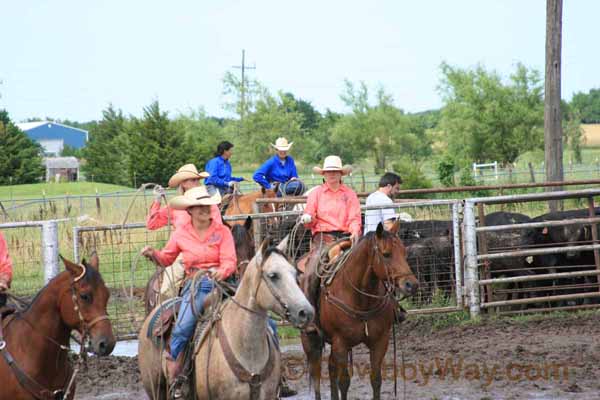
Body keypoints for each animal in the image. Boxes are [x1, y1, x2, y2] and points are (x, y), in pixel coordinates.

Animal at [302, 222, 420, 400]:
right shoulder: (341, 343)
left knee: (330, 366)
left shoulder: (380, 341)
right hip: (310, 340)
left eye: (404, 253)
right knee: (316, 373)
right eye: (386, 254)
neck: (360, 299)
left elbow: (376, 379)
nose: (411, 285)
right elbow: (344, 382)